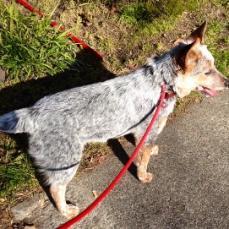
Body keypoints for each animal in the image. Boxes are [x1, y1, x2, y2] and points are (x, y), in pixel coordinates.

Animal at [0, 21, 226, 218]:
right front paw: (143, 176)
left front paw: (149, 151)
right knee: (56, 188)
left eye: (215, 65)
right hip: (67, 161)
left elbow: (141, 147)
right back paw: (66, 211)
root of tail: (32, 112)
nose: (227, 82)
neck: (161, 82)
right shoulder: (149, 129)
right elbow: (143, 161)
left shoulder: (141, 131)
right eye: (207, 72)